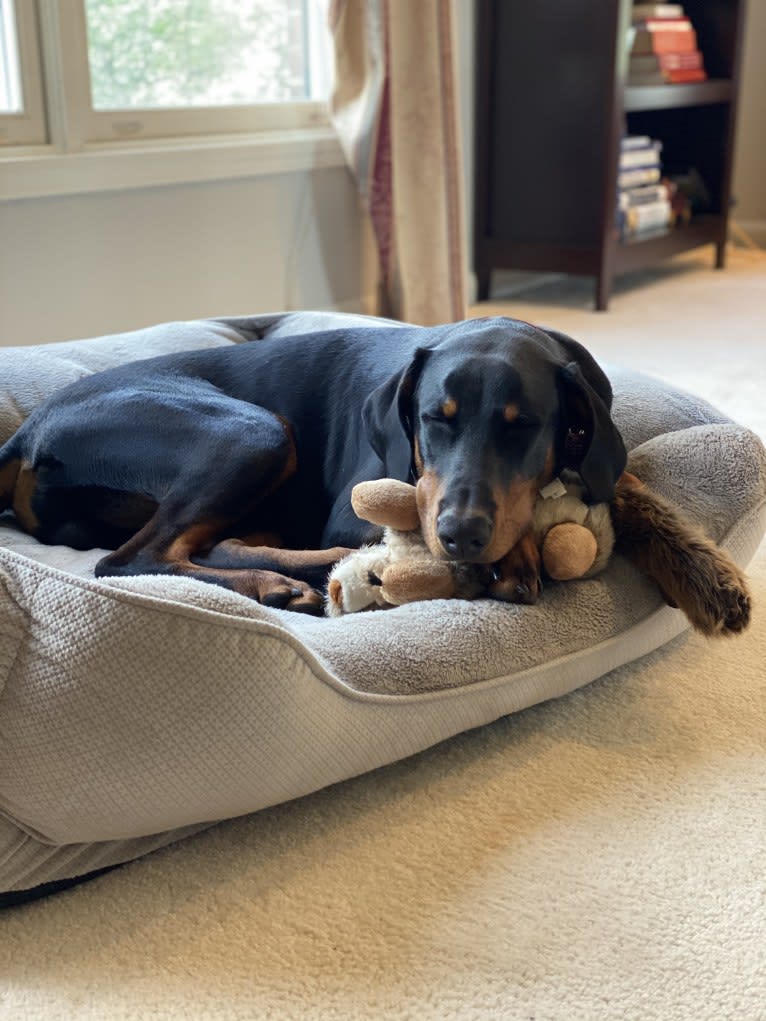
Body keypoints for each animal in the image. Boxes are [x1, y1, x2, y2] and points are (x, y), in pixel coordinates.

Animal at [0, 314, 751, 633]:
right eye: (432, 419)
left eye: (523, 426)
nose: (461, 535)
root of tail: (26, 432)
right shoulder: (368, 494)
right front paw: (510, 557)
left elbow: (629, 490)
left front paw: (707, 577)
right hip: (251, 429)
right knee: (133, 559)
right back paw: (286, 582)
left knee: (204, 544)